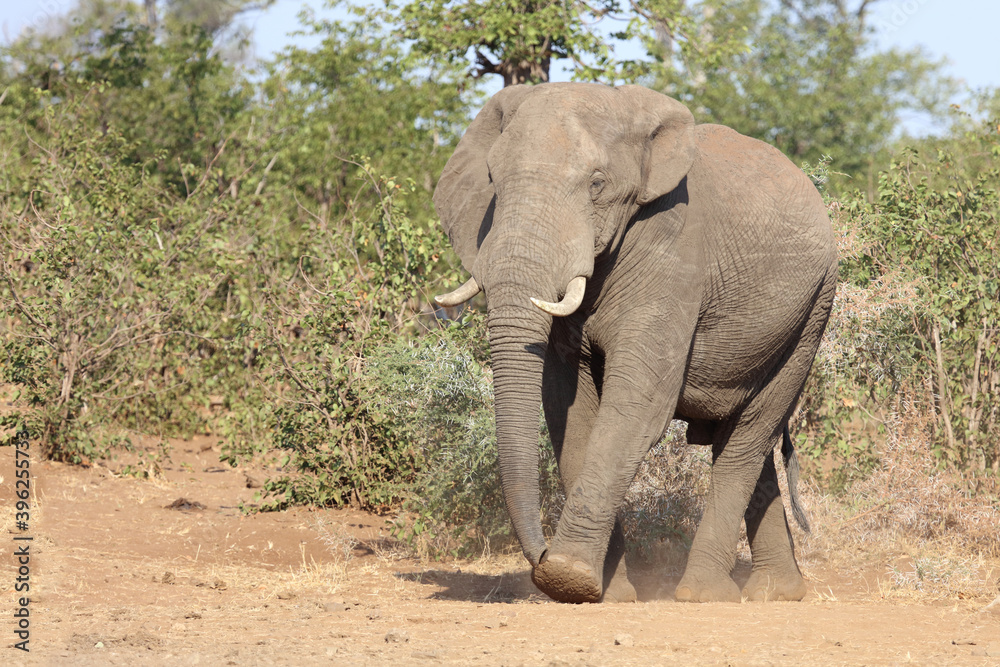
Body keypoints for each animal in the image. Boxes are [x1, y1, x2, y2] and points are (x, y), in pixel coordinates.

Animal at [431, 82, 837, 604]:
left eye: (597, 184)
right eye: (493, 183)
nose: (538, 556)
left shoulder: (673, 249)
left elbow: (637, 403)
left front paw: (566, 577)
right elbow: (569, 408)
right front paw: (604, 591)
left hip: (812, 312)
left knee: (748, 437)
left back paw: (705, 594)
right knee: (746, 441)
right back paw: (775, 593)